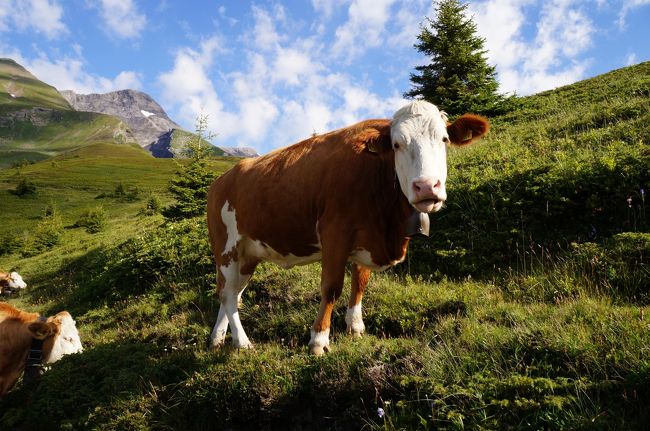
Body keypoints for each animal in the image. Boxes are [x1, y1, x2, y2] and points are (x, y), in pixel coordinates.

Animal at [206, 100, 486, 354]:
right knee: (227, 293)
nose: (427, 186)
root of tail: (222, 179)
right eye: (397, 145)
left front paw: (356, 327)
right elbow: (331, 287)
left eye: (444, 139)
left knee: (233, 292)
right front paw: (319, 339)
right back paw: (242, 342)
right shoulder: (335, 233)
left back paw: (217, 338)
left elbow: (359, 283)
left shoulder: (367, 238)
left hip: (248, 254)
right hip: (226, 248)